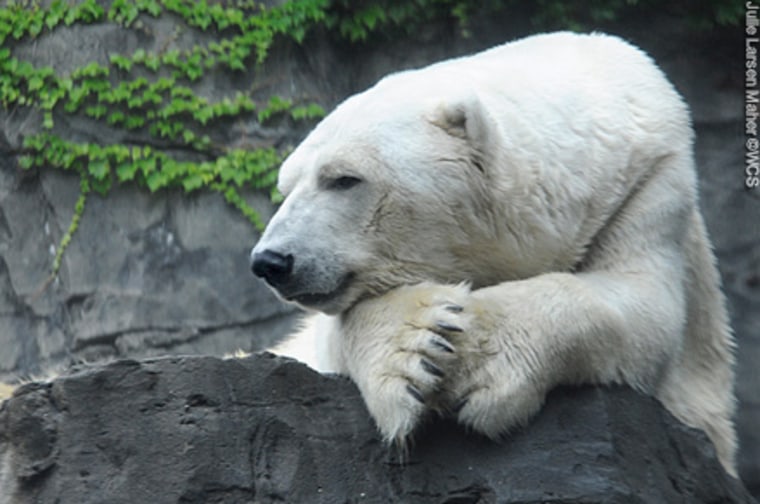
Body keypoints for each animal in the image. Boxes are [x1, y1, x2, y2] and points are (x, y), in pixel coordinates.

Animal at [252, 32, 740, 476]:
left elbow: (644, 309)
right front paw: (420, 348)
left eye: (344, 179)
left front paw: (480, 357)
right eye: (287, 187)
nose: (271, 261)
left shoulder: (647, 186)